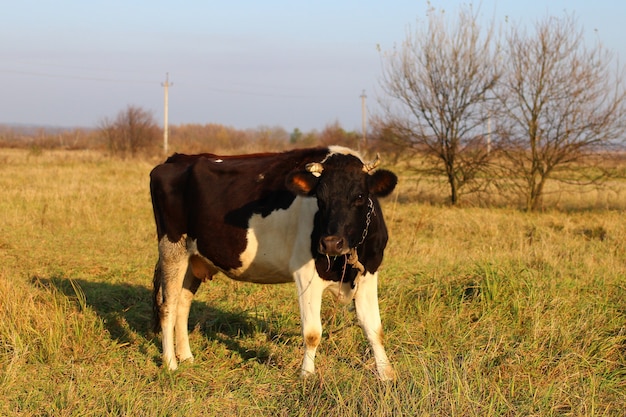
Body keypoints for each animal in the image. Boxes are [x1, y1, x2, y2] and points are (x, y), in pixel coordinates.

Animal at [149, 145, 398, 378]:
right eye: (320, 199)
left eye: (359, 196)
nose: (330, 243)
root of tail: (178, 158)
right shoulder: (306, 274)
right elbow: (312, 333)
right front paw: (307, 375)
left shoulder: (369, 273)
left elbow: (374, 328)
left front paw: (386, 374)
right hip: (172, 248)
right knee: (168, 305)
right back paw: (170, 363)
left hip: (193, 258)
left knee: (183, 303)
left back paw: (187, 357)